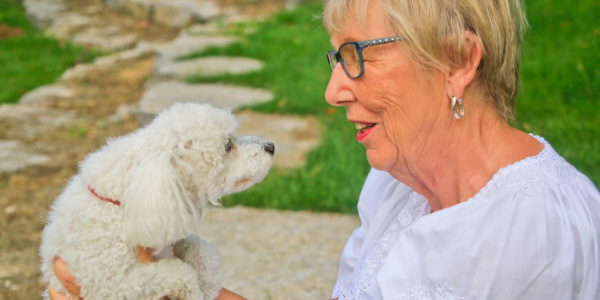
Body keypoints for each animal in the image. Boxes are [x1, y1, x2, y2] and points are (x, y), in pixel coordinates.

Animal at [41, 103, 276, 300]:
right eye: (228, 146)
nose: (271, 146)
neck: (120, 203)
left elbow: (201, 250)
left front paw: (208, 285)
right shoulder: (111, 282)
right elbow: (181, 272)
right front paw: (196, 293)